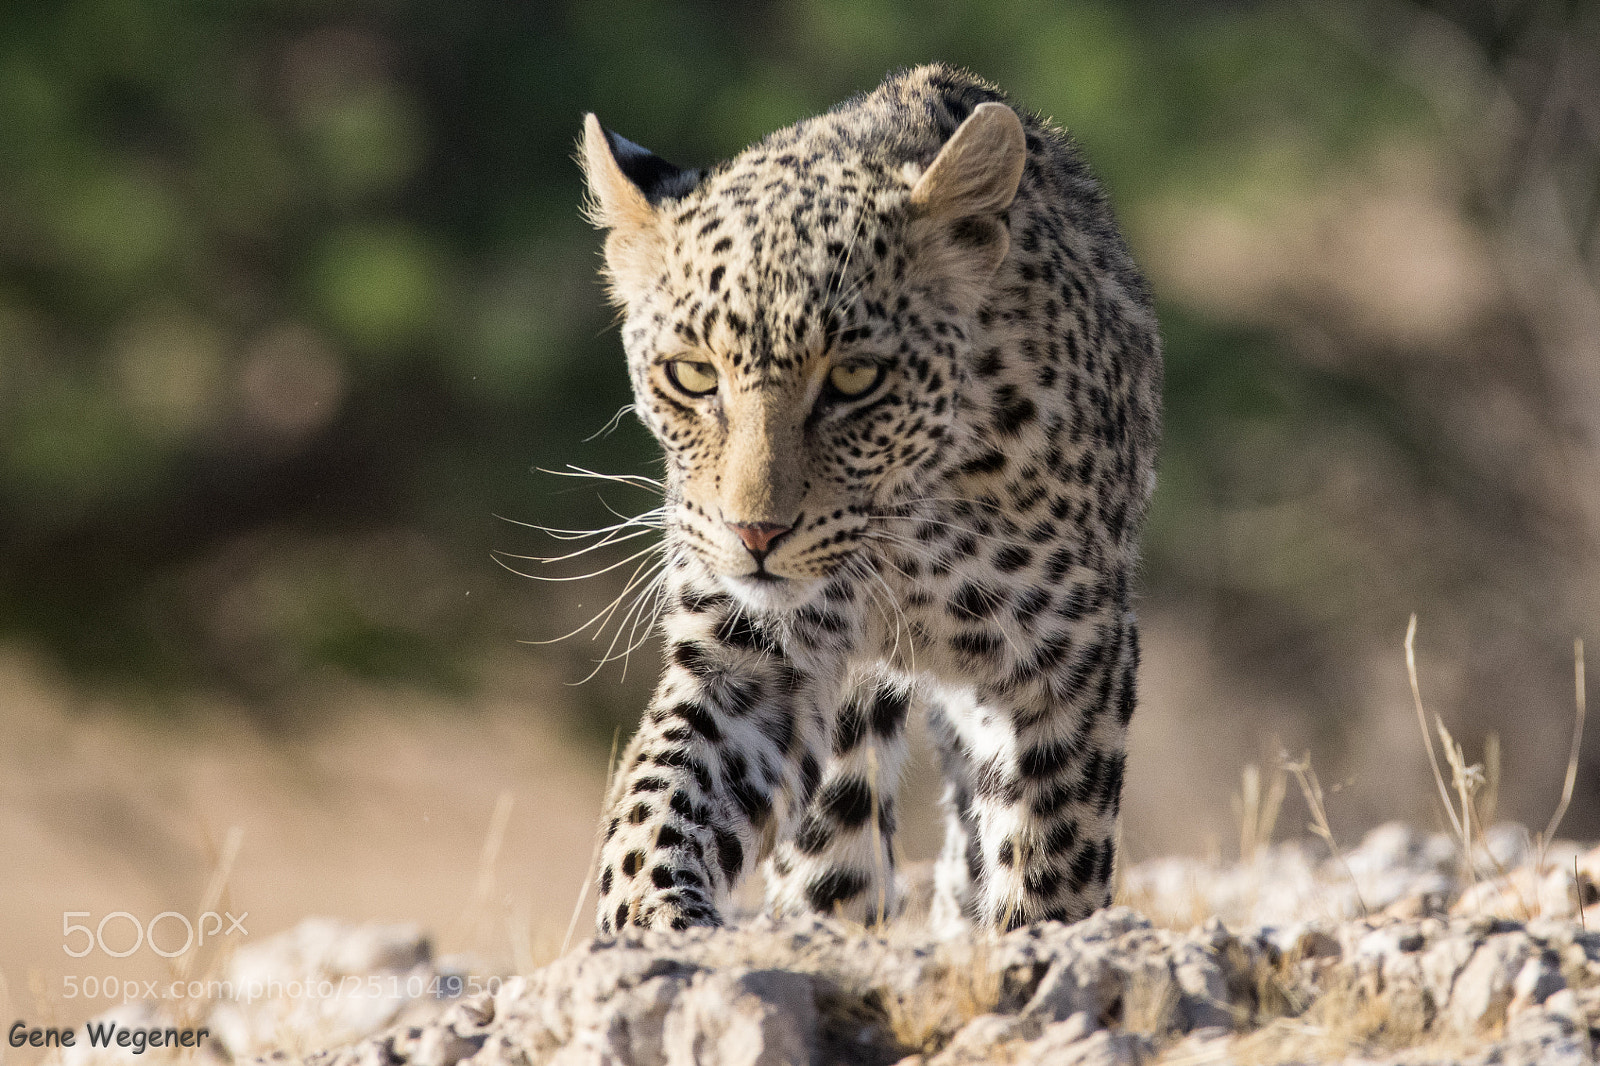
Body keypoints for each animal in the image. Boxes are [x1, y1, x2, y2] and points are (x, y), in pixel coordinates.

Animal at [576, 63, 1161, 936]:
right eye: (692, 374)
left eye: (855, 379)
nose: (755, 533)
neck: (903, 543)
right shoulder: (744, 656)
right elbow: (660, 803)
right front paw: (660, 926)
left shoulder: (1068, 658)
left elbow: (1051, 853)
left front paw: (1036, 944)